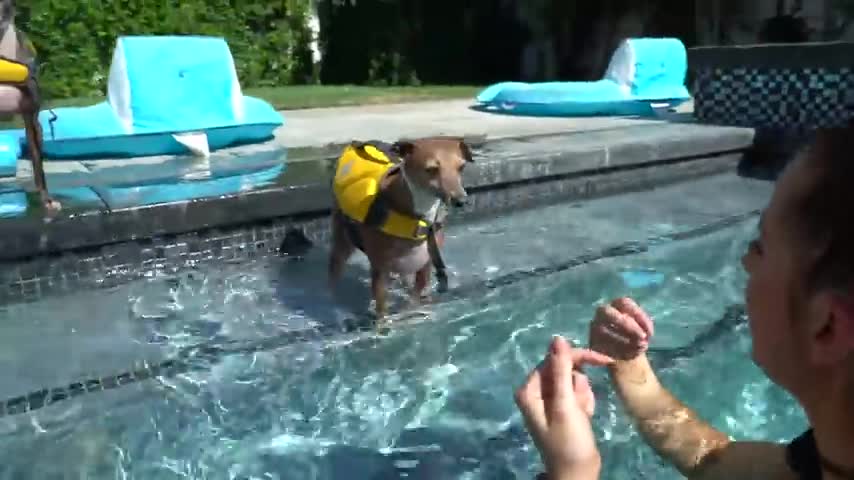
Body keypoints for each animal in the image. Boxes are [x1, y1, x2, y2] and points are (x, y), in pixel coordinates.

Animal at [330, 136, 474, 322]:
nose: (461, 201)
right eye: (431, 169)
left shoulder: (425, 264)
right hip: (341, 241)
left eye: (461, 167)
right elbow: (382, 311)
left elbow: (415, 298)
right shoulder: (380, 270)